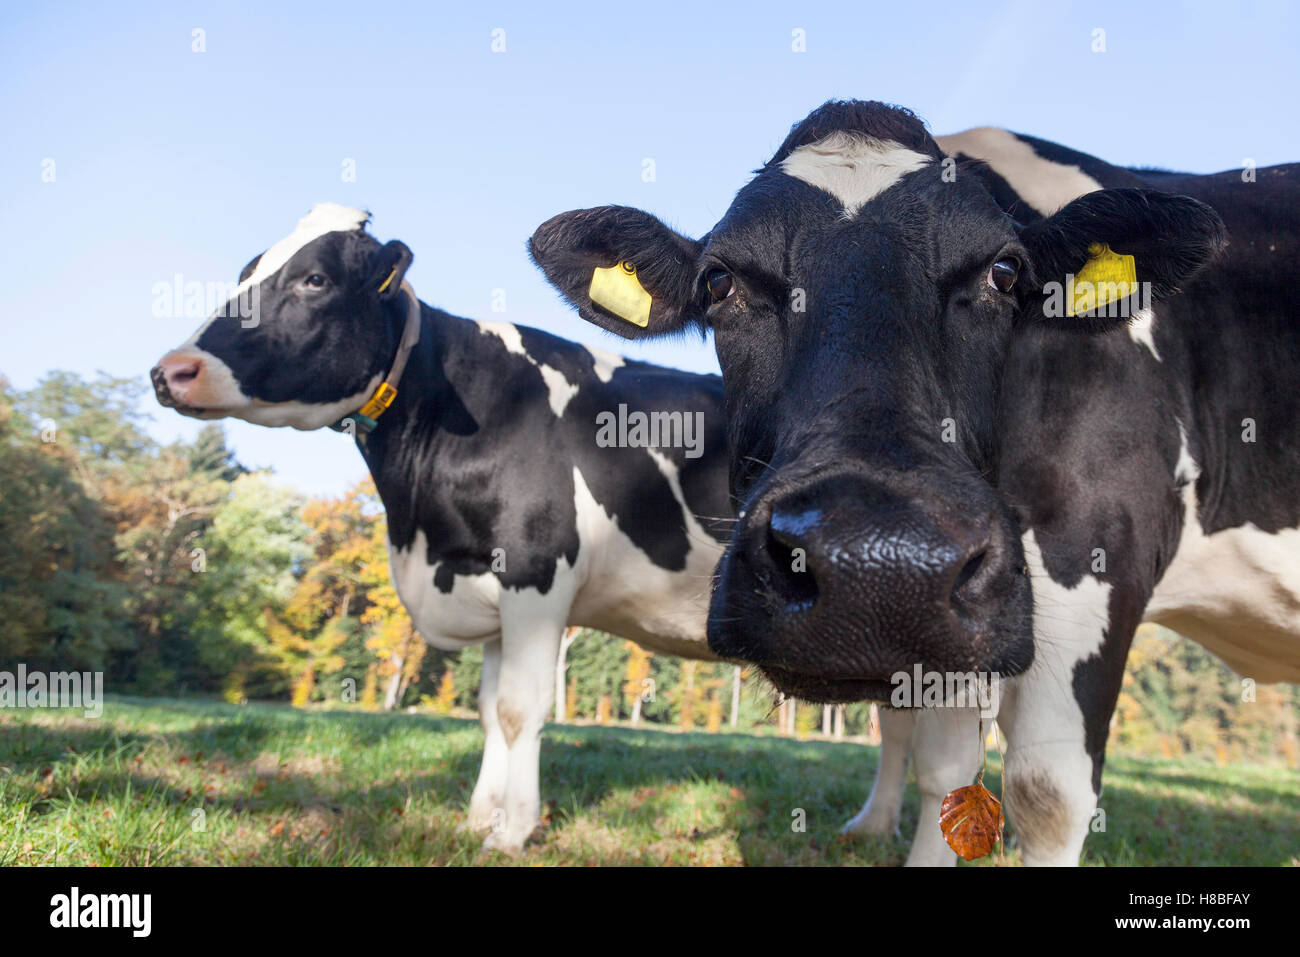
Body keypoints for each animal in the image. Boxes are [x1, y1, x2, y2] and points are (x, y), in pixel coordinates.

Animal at [149, 203, 737, 855]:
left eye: (315, 280)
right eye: (246, 272)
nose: (172, 371)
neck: (419, 529)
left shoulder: (537, 574)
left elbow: (520, 709)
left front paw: (512, 831)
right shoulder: (486, 582)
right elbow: (488, 711)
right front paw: (480, 817)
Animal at [530, 99, 1300, 865]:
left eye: (1004, 272)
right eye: (720, 281)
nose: (876, 566)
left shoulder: (1099, 545)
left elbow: (1047, 794)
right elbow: (947, 770)